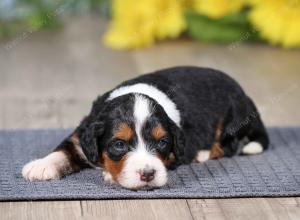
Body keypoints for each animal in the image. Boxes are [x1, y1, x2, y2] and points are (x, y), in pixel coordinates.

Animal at [21, 66, 270, 189]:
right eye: (119, 145)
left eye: (162, 142)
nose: (148, 174)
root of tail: (246, 97)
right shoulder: (82, 135)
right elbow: (63, 151)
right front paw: (41, 166)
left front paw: (110, 175)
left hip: (231, 121)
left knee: (229, 146)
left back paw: (203, 153)